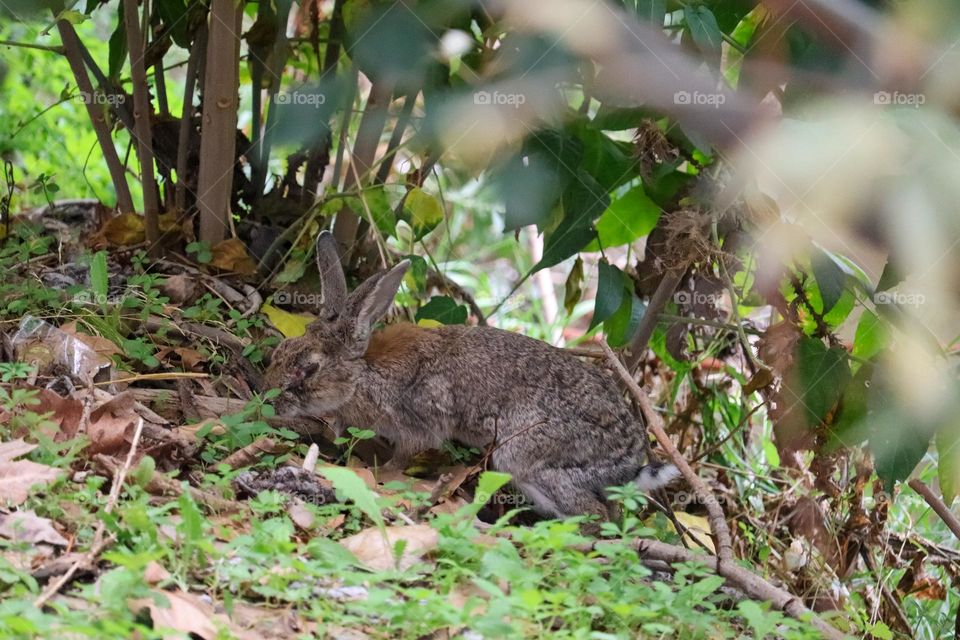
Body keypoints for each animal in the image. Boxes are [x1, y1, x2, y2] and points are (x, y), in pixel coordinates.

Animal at [262, 232, 680, 516]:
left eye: (308, 368)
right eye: (281, 351)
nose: (268, 401)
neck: (363, 373)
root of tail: (630, 458)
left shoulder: (419, 425)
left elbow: (404, 454)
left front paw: (382, 474)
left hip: (527, 455)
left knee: (593, 514)